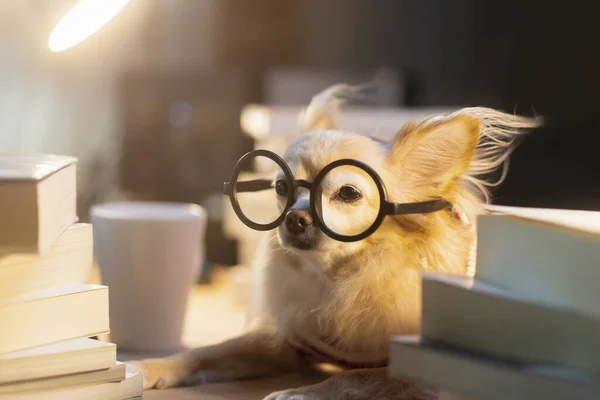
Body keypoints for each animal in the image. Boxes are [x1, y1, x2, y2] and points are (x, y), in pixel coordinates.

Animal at [132, 85, 544, 400]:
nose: (295, 217)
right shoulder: (290, 343)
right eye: (281, 188)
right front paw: (146, 366)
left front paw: (299, 393)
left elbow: (357, 375)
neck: (337, 278)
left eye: (348, 192)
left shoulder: (420, 371)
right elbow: (212, 351)